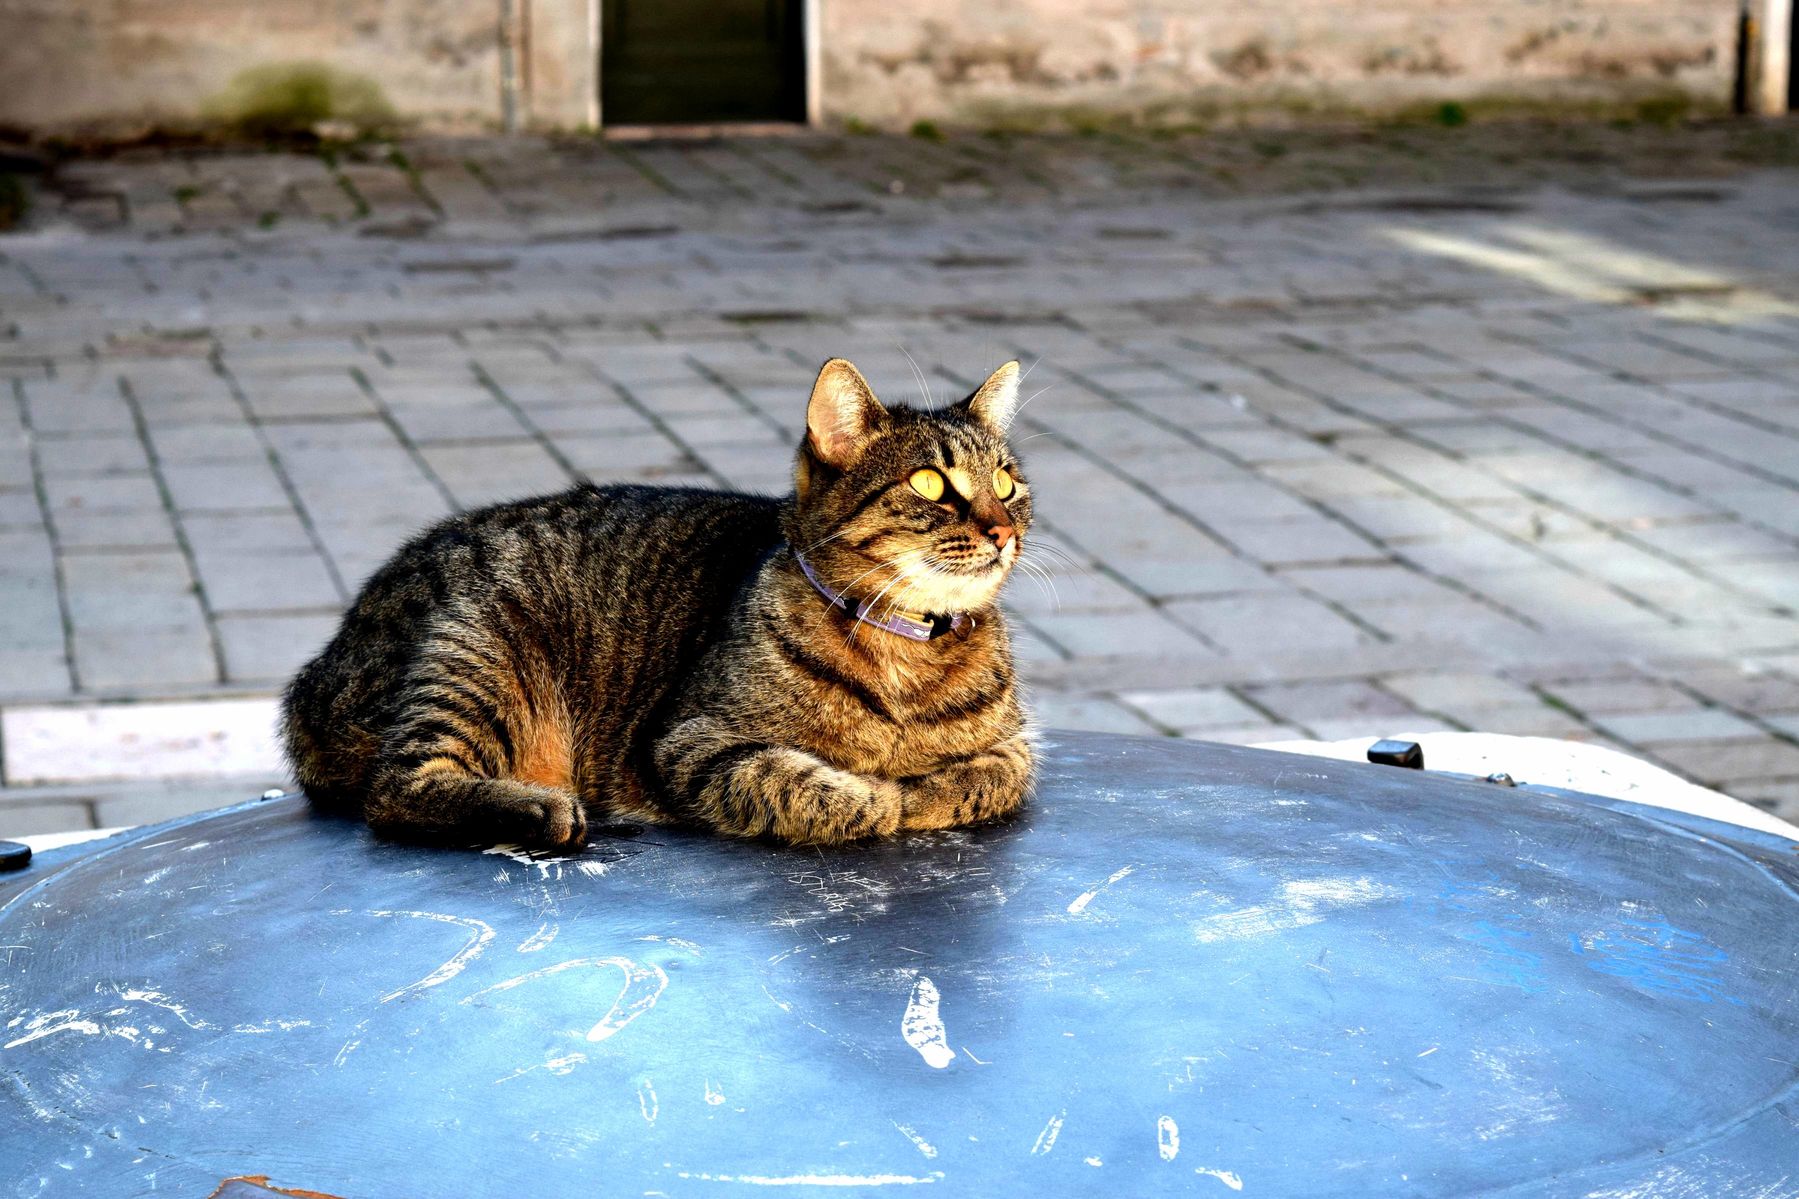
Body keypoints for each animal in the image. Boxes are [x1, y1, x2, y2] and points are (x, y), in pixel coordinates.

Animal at [284, 356, 1043, 849]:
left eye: (1006, 484)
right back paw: (539, 810)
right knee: (395, 789)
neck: (907, 651)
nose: (1002, 530)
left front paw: (926, 787)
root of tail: (316, 671)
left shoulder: (1018, 747)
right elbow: (807, 783)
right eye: (930, 482)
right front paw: (881, 794)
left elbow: (988, 777)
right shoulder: (688, 742)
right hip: (479, 650)